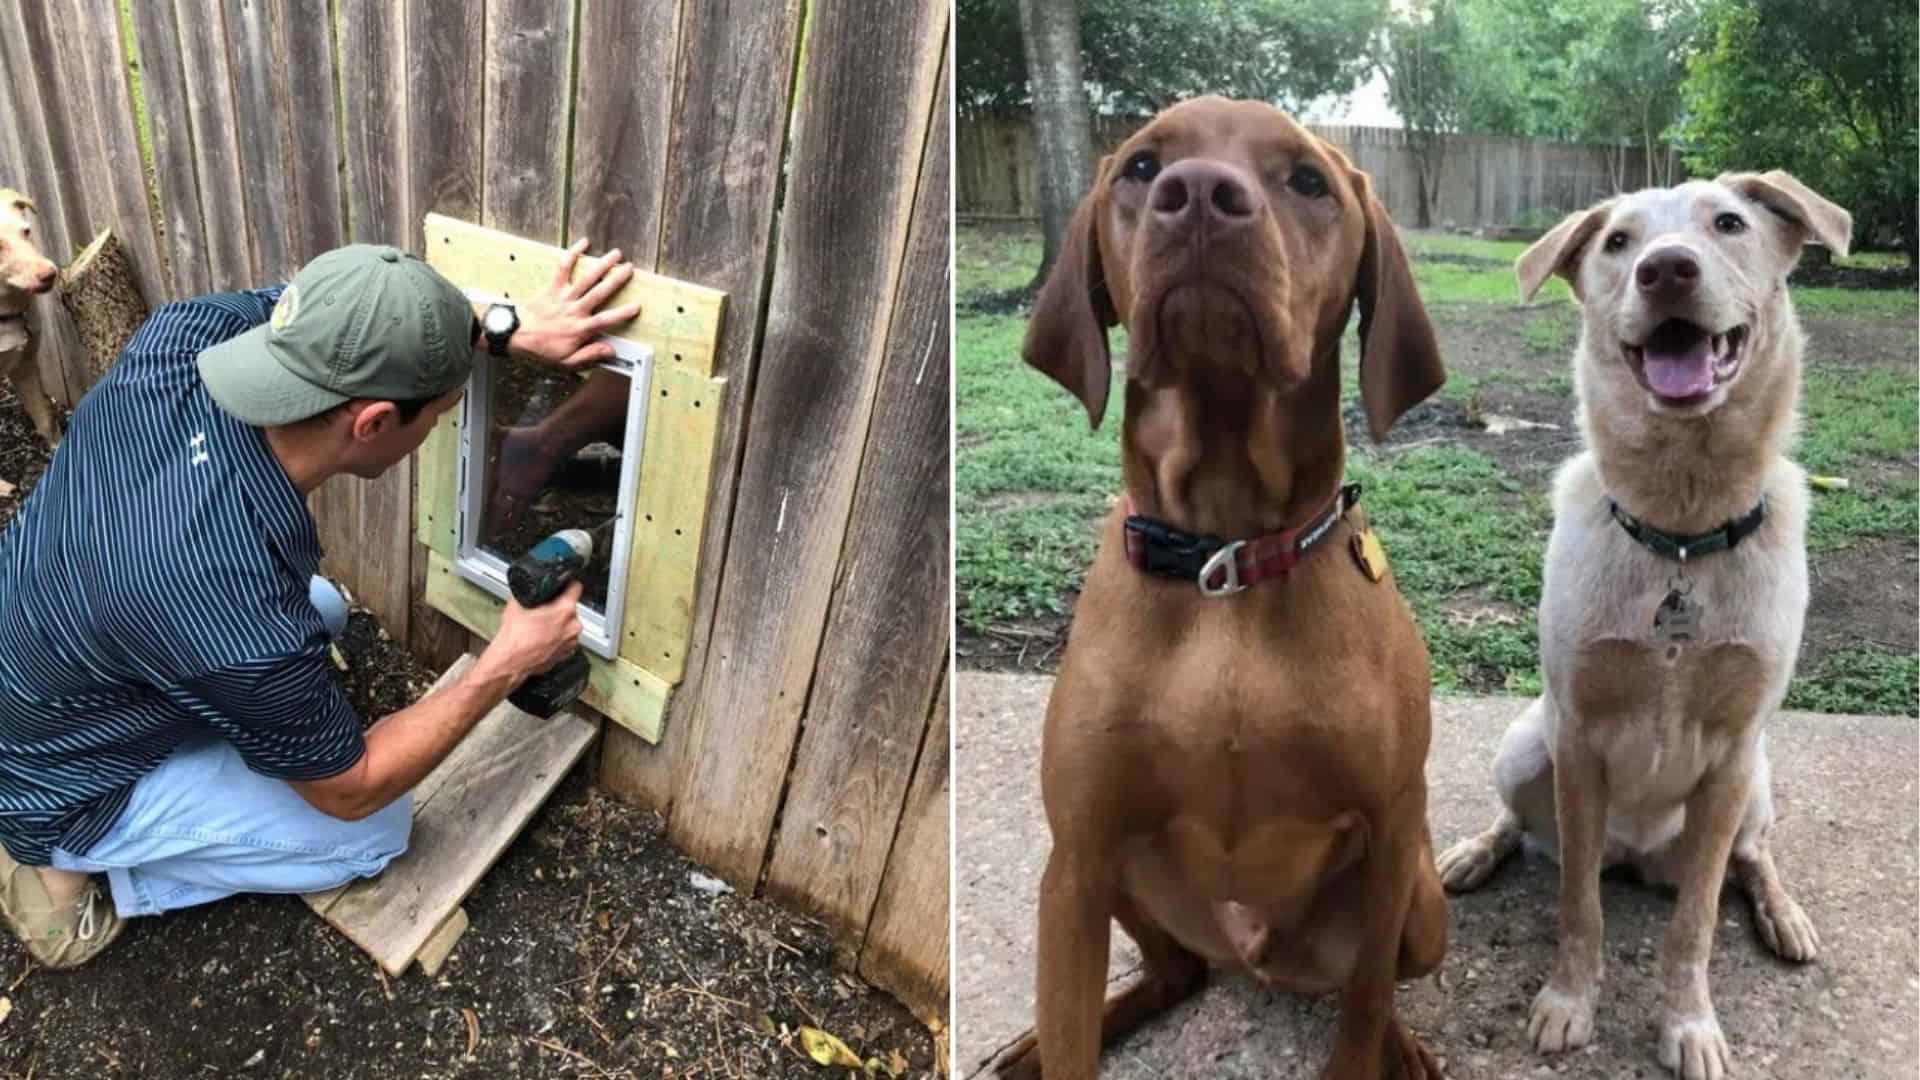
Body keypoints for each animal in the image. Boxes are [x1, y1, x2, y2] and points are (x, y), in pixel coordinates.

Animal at [998, 96, 1443, 1068]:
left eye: (1308, 180)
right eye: (1140, 165)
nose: (1198, 193)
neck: (1225, 558)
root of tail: (1255, 956)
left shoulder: (1393, 829)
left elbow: (1363, 1008)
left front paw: (1375, 1048)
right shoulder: (1077, 856)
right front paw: (1060, 1041)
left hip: (1422, 904)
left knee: (1376, 981)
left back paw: (1406, 1046)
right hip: (1113, 875)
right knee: (1176, 971)